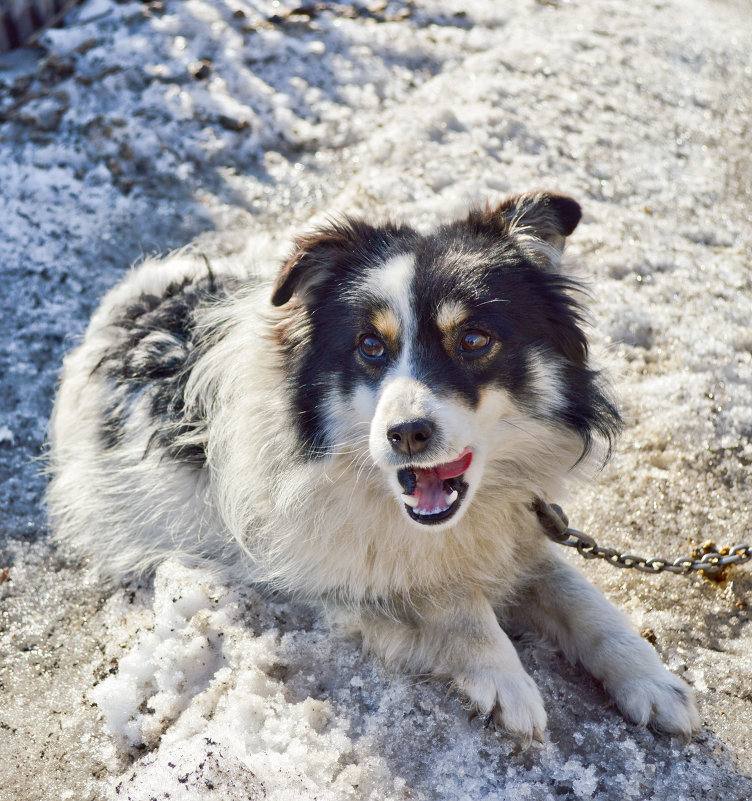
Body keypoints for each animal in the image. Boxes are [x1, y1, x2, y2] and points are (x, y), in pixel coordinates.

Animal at [50, 191, 704, 740]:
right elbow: (453, 600)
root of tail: (139, 297)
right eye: (370, 346)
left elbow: (579, 592)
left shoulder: (518, 523)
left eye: (474, 339)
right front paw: (507, 682)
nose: (406, 434)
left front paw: (652, 680)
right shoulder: (339, 567)